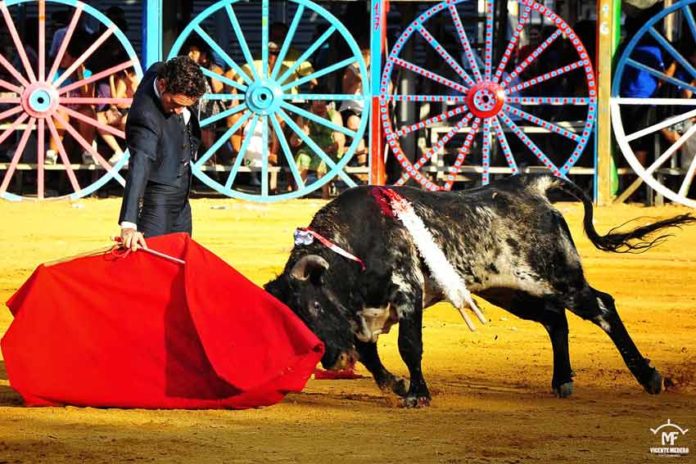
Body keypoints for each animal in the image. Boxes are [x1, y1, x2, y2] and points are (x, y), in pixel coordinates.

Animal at [266, 174, 692, 406]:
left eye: (314, 309)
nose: (333, 361)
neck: (351, 247)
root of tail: (528, 185)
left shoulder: (408, 291)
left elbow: (409, 346)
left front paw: (417, 393)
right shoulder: (362, 318)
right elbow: (371, 353)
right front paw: (395, 384)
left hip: (559, 277)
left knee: (601, 306)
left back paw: (648, 377)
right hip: (510, 293)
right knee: (555, 320)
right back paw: (562, 380)